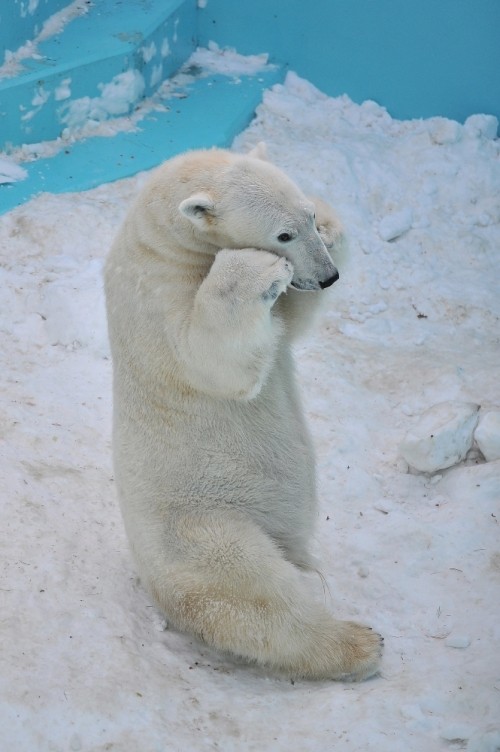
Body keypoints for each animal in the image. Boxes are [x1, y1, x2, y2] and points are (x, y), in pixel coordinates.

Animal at [103, 145, 380, 680]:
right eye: (282, 235)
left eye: (305, 219)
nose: (327, 276)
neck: (159, 236)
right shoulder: (156, 296)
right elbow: (212, 358)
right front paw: (254, 270)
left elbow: (286, 326)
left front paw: (332, 224)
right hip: (203, 527)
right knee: (258, 592)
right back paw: (358, 643)